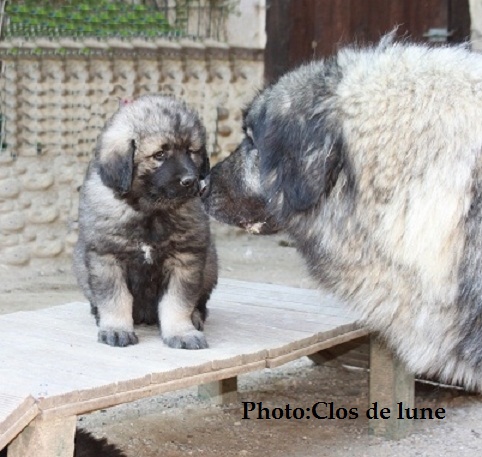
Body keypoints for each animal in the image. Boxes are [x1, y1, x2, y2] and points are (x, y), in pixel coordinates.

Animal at [74, 93, 217, 350]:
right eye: (160, 155)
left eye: (191, 152)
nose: (191, 181)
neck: (151, 211)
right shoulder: (107, 257)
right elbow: (115, 298)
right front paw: (116, 329)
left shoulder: (185, 258)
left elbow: (178, 301)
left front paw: (182, 332)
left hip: (210, 262)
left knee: (200, 303)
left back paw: (196, 317)